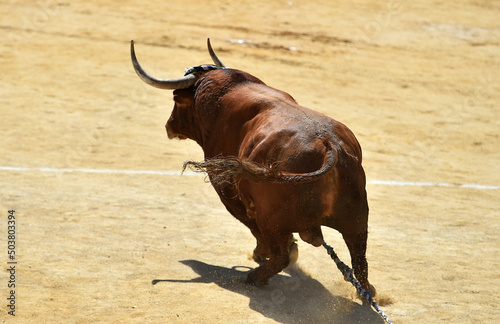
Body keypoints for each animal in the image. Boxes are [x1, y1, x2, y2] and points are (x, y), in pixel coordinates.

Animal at [132, 38, 376, 296]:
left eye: (175, 102)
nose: (169, 126)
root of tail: (327, 146)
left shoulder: (228, 191)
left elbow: (251, 226)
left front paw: (261, 253)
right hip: (358, 220)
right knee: (359, 259)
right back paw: (367, 290)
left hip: (271, 217)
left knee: (279, 255)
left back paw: (254, 277)